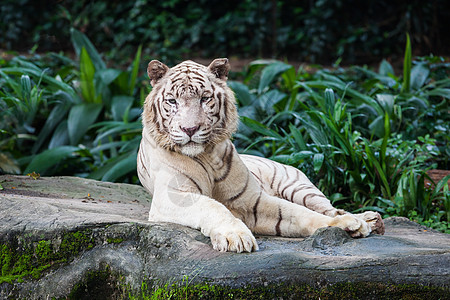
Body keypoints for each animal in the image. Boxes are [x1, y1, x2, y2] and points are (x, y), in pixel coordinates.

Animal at [137, 57, 384, 252]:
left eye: (205, 99)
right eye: (172, 101)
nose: (190, 129)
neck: (207, 155)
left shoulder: (251, 199)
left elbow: (300, 214)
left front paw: (347, 224)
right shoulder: (174, 197)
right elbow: (213, 207)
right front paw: (235, 236)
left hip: (301, 188)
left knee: (329, 207)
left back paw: (368, 219)